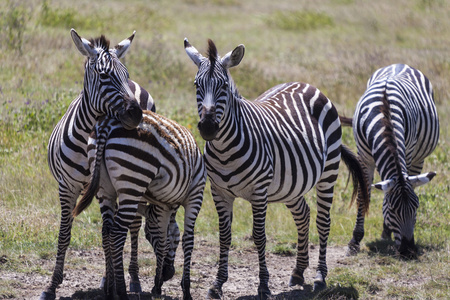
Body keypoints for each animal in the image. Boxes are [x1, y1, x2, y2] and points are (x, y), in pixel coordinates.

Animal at [41, 28, 179, 300]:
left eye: (125, 73)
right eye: (104, 75)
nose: (136, 114)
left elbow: (114, 233)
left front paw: (114, 282)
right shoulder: (67, 187)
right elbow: (65, 233)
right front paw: (51, 286)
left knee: (132, 227)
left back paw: (132, 280)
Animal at [73, 110, 207, 300]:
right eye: (148, 237)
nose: (168, 274)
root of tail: (107, 123)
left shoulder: (163, 205)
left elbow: (163, 240)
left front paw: (157, 287)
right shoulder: (195, 194)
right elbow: (186, 240)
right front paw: (185, 290)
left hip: (105, 188)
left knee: (106, 231)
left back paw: (109, 291)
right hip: (133, 180)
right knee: (117, 233)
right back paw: (121, 292)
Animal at [183, 38, 370, 298]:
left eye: (224, 86)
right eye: (196, 85)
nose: (209, 127)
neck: (225, 150)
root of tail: (306, 84)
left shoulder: (259, 191)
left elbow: (259, 236)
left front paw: (263, 285)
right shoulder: (219, 192)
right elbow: (224, 236)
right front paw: (217, 284)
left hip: (328, 172)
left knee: (323, 222)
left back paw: (320, 277)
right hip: (291, 184)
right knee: (303, 214)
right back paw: (298, 271)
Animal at [344, 63, 440, 258]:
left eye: (416, 208)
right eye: (393, 210)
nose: (409, 251)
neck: (384, 116)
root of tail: (400, 65)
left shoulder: (407, 153)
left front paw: (386, 230)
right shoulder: (364, 158)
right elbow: (363, 196)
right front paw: (355, 241)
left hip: (418, 158)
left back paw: (386, 231)